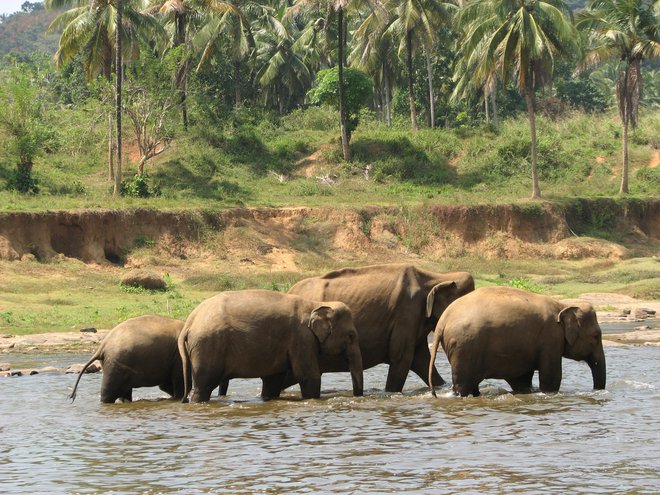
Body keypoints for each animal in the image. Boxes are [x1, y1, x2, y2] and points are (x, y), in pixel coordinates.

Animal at [178, 290, 364, 404]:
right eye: (350, 336)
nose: (357, 397)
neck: (315, 304)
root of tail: (190, 320)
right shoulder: (302, 338)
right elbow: (309, 376)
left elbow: (273, 380)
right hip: (207, 346)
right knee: (204, 385)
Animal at [428, 286, 608, 400]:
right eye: (596, 336)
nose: (596, 391)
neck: (562, 305)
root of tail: (443, 320)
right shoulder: (550, 338)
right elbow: (551, 377)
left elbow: (522, 379)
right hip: (464, 347)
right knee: (463, 385)